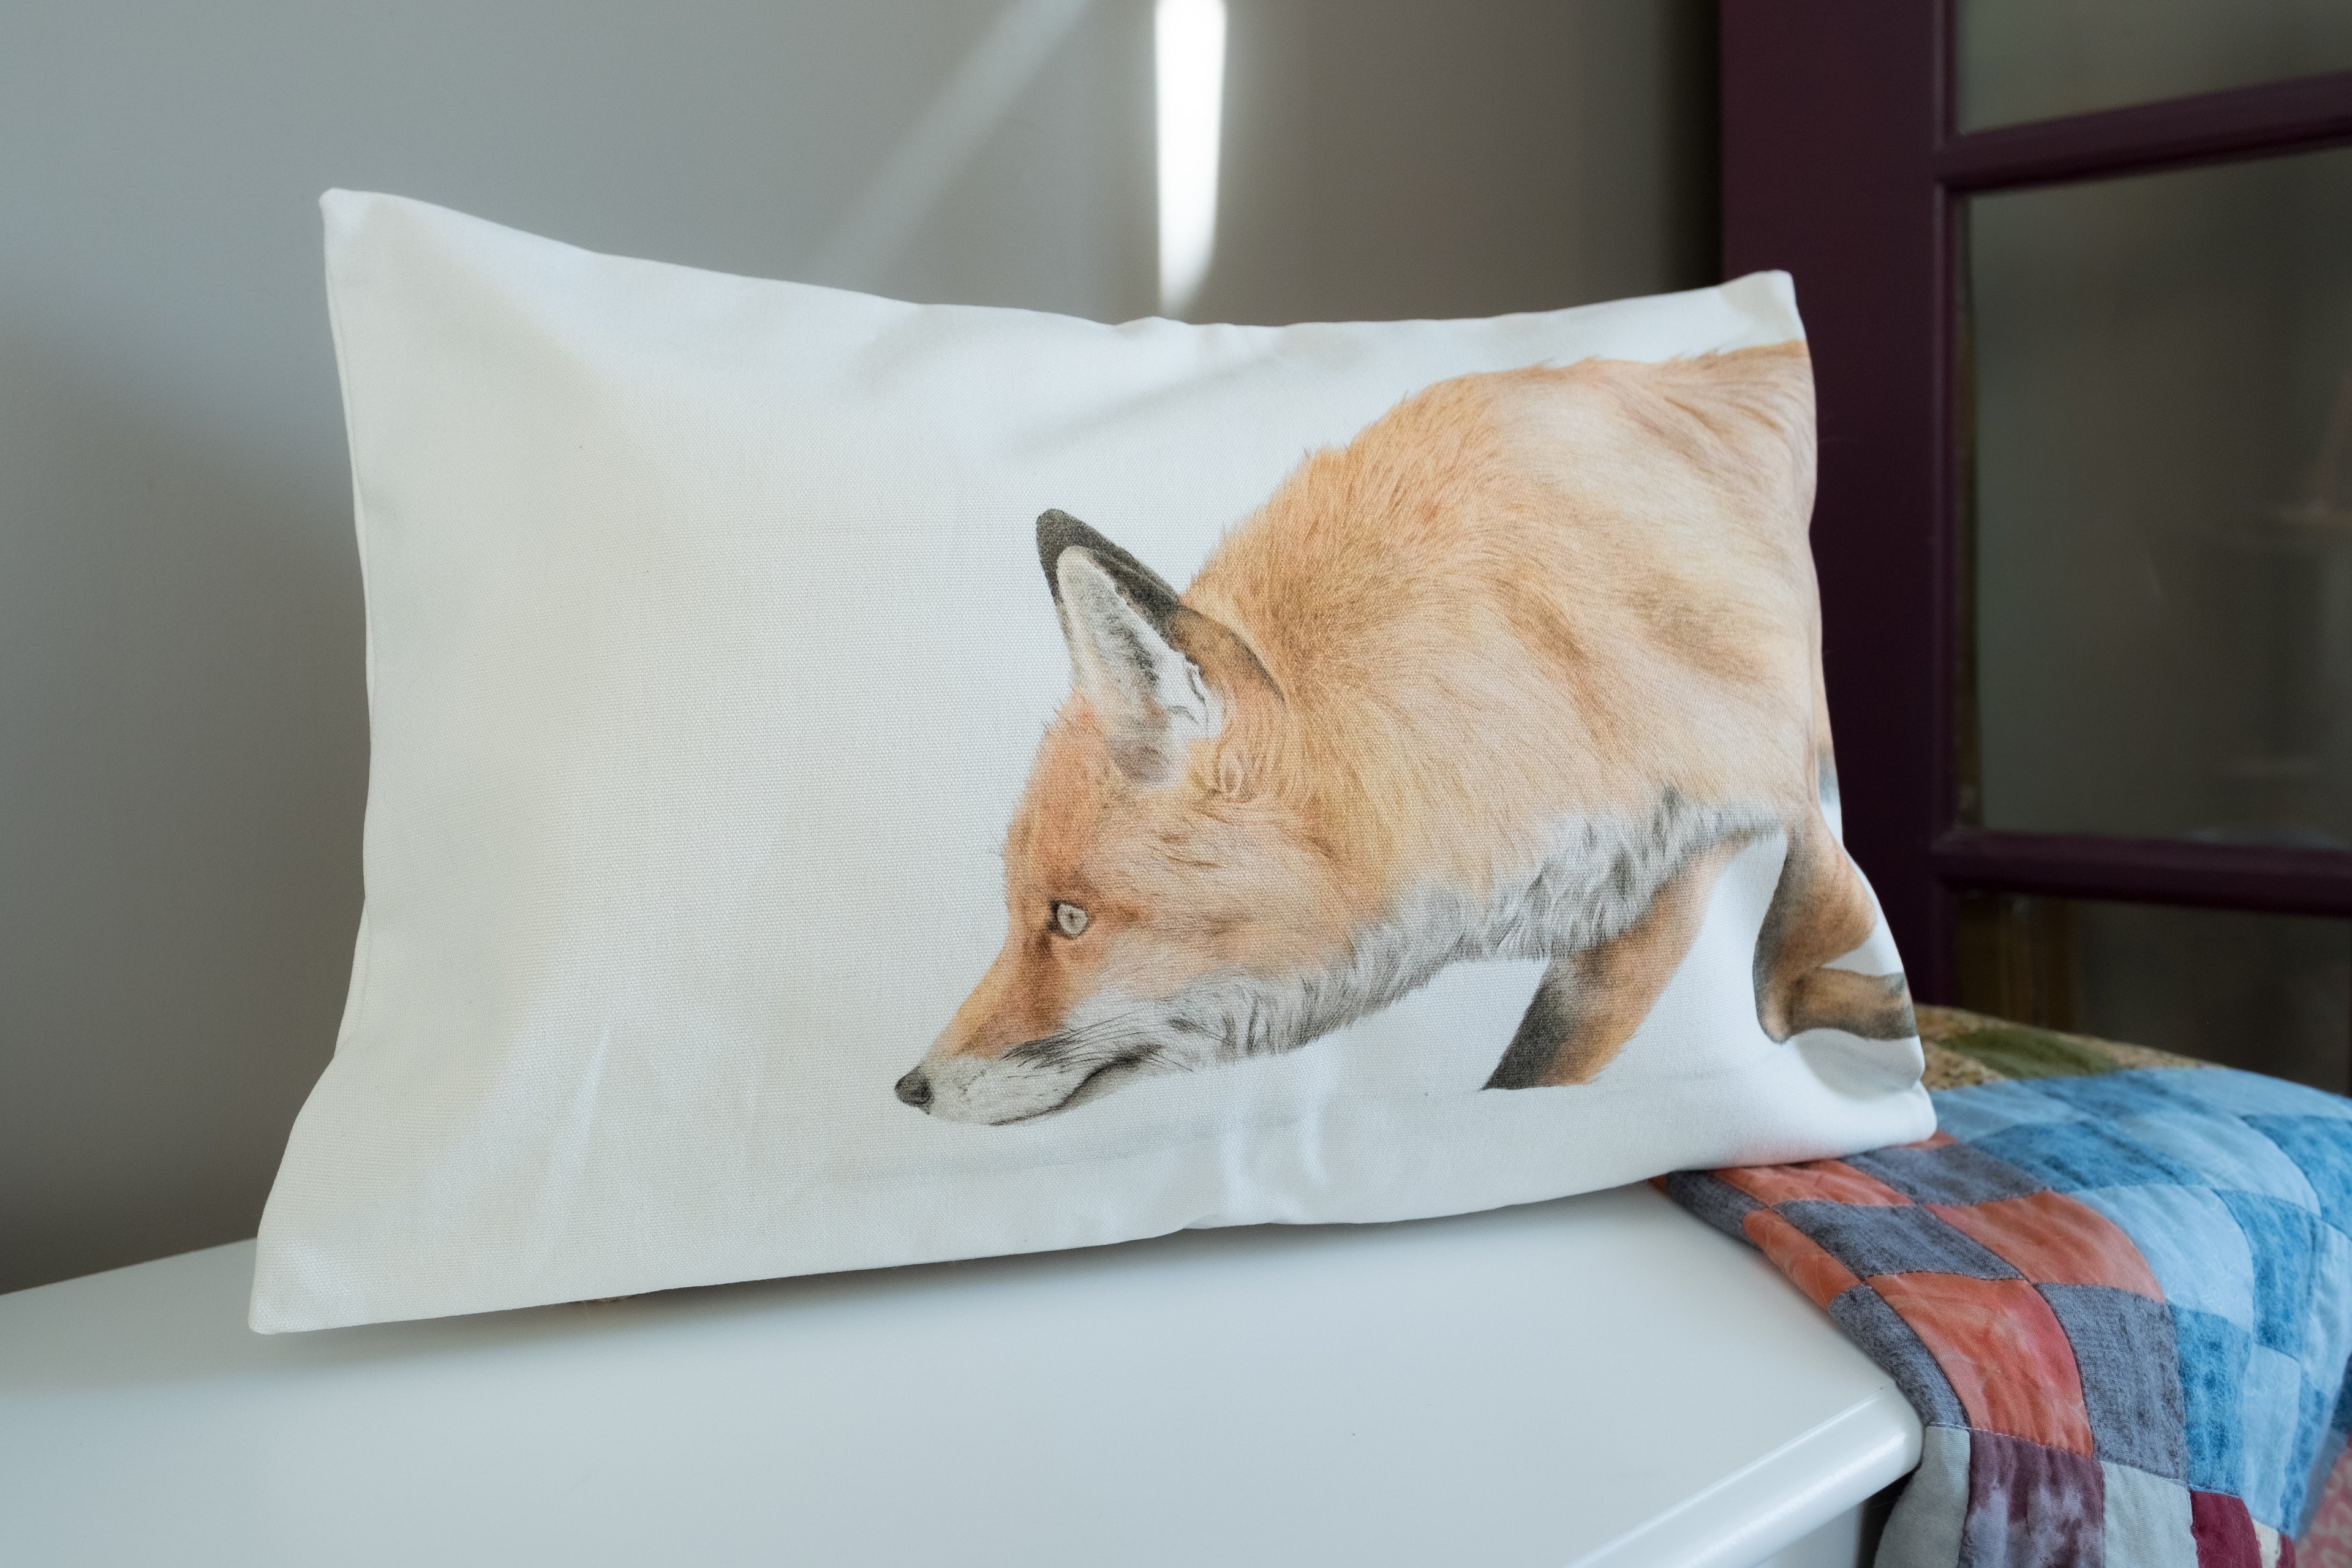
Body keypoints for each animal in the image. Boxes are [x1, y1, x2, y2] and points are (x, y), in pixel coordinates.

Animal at [894, 342, 1915, 1125]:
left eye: (1070, 918)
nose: (910, 1088)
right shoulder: (1645, 884)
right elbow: (1541, 1074)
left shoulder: (1728, 813)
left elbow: (1783, 967)